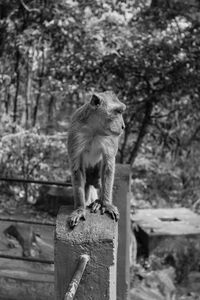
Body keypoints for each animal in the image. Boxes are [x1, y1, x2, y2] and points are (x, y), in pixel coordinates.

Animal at [68, 91, 126, 227]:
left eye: (121, 111)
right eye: (117, 111)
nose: (123, 126)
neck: (95, 130)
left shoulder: (111, 138)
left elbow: (108, 166)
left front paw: (107, 204)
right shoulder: (76, 133)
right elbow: (77, 168)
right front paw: (80, 209)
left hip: (95, 178)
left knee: (101, 179)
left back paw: (98, 202)